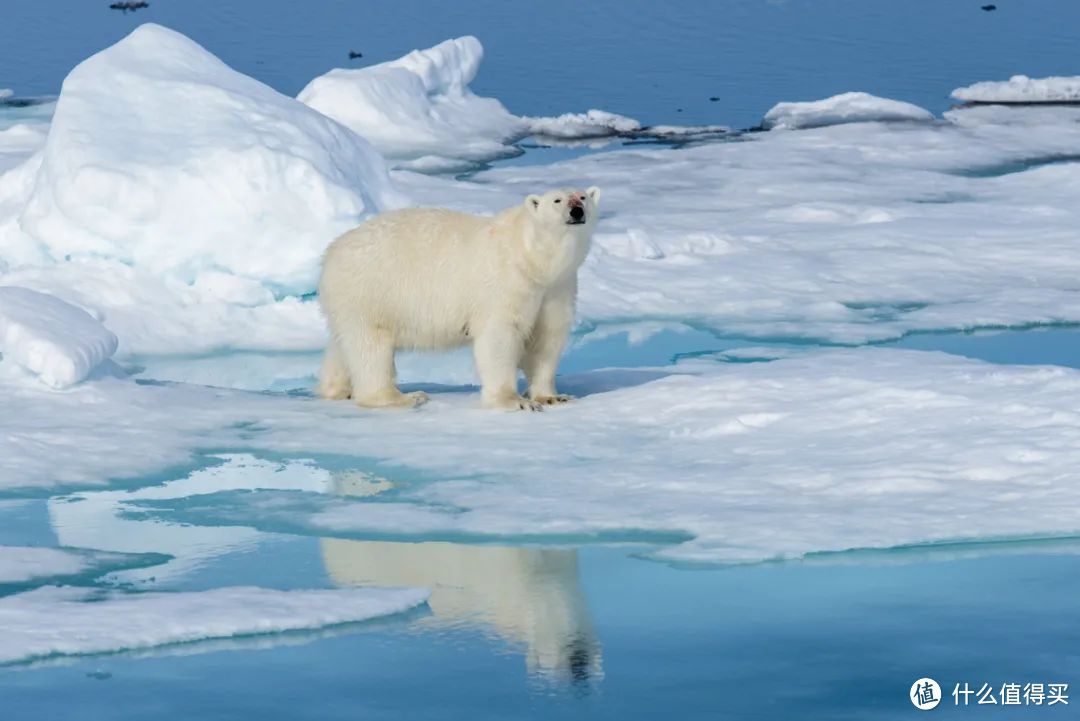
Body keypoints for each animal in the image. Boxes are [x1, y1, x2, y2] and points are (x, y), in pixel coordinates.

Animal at [317, 187, 600, 410]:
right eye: (557, 200)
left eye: (583, 196)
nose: (577, 210)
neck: (533, 258)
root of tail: (331, 251)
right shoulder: (505, 282)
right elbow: (500, 335)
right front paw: (514, 401)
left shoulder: (557, 287)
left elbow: (546, 337)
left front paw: (552, 397)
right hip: (372, 290)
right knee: (371, 346)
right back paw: (403, 397)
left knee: (344, 344)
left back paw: (337, 389)